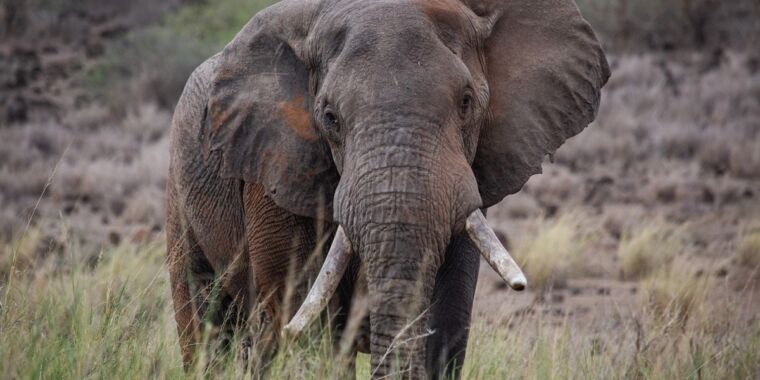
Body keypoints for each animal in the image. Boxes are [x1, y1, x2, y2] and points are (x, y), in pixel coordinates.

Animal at [165, 0, 604, 378]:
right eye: (329, 117)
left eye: (466, 102)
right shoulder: (275, 163)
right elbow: (301, 315)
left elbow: (447, 319)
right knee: (206, 324)